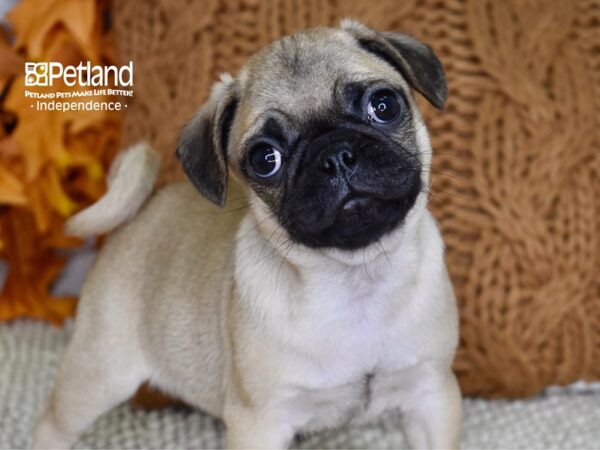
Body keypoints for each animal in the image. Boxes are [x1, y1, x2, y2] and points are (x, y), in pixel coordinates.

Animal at [32, 21, 462, 450]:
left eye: (384, 106)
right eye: (265, 159)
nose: (335, 155)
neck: (357, 279)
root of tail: (142, 207)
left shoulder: (431, 393)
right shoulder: (261, 421)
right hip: (100, 370)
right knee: (52, 425)